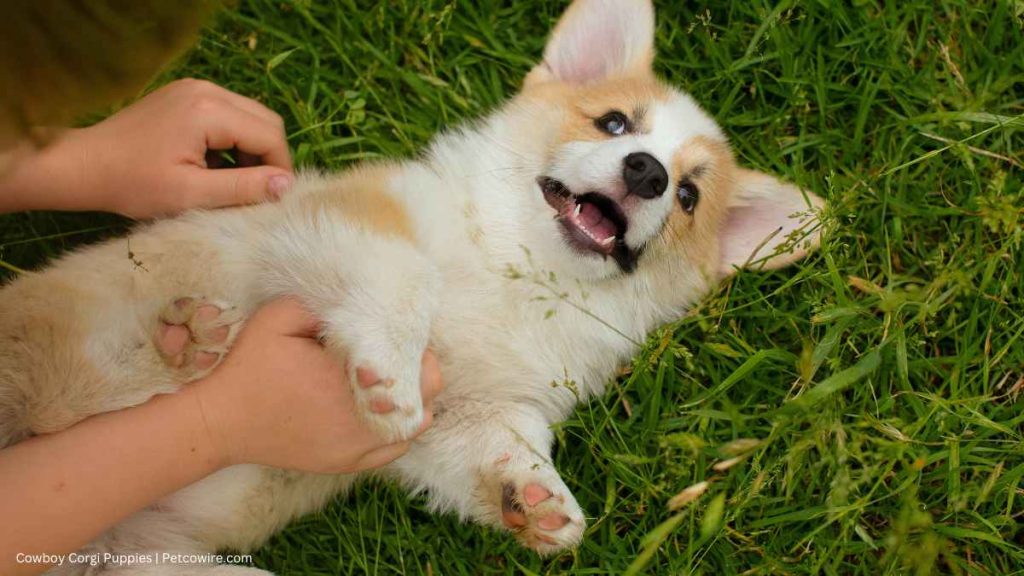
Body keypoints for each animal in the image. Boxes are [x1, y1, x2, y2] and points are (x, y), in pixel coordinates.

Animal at [0, 0, 823, 569]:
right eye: (615, 123)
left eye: (688, 196)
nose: (648, 173)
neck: (515, 267)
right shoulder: (331, 222)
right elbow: (406, 276)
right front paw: (389, 375)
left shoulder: (466, 417)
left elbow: (499, 444)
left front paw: (536, 499)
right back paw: (184, 338)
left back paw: (185, 341)